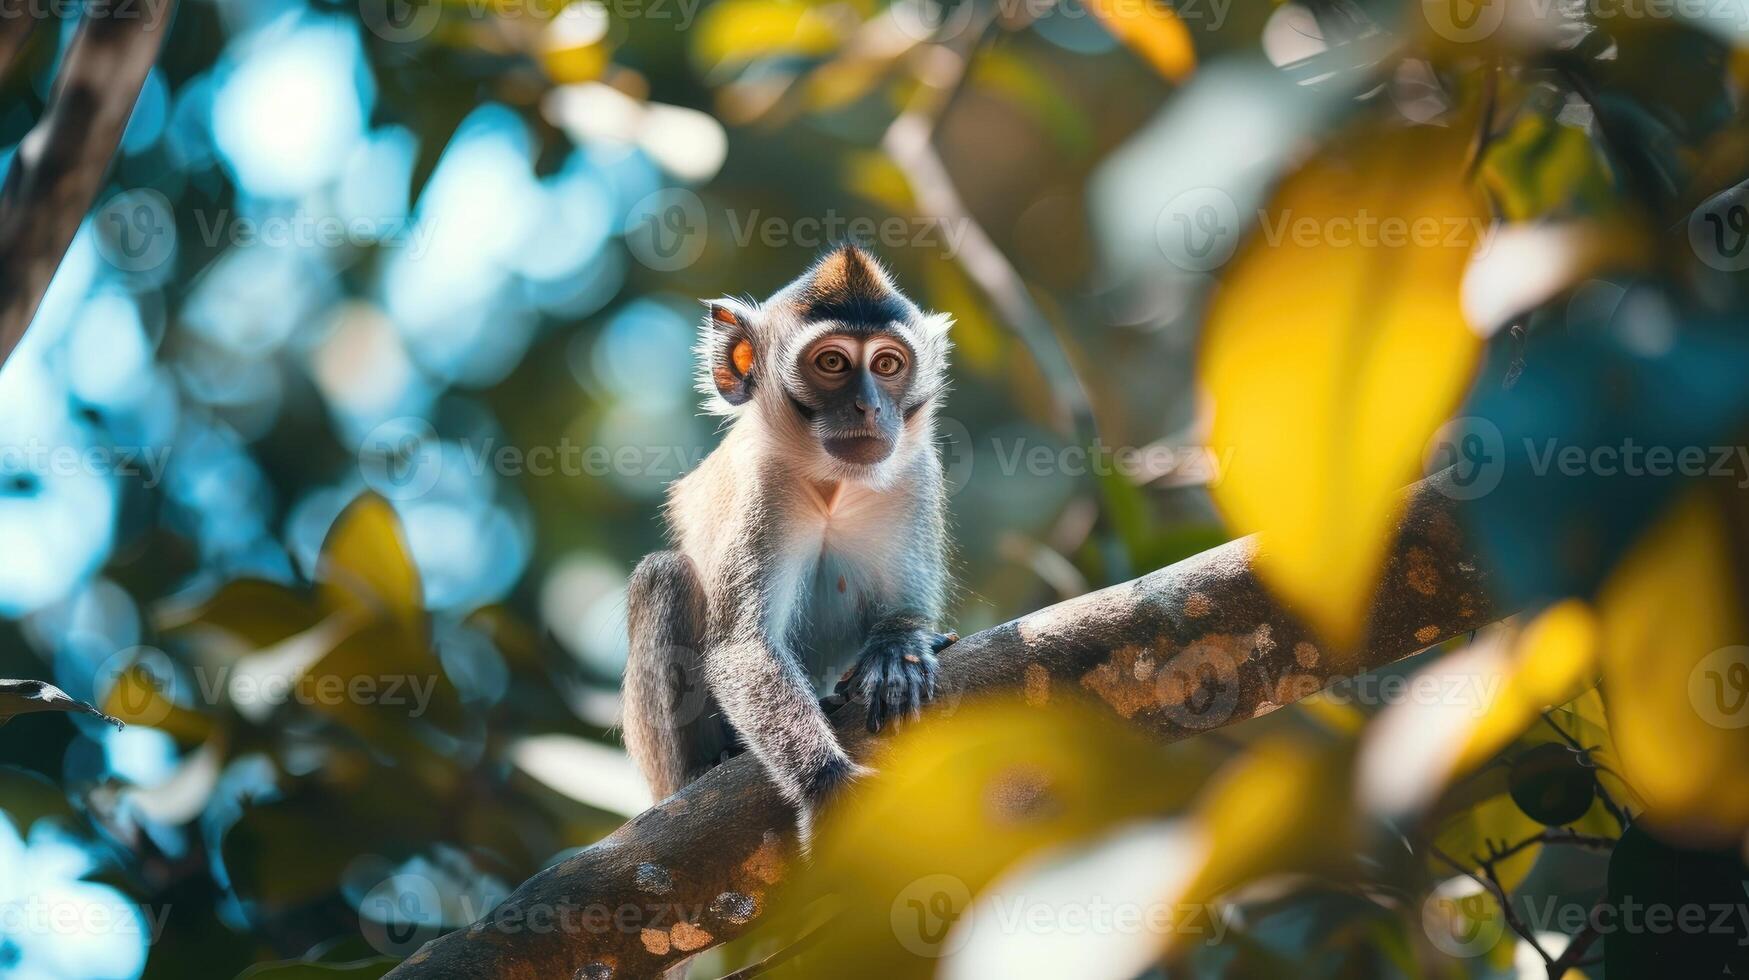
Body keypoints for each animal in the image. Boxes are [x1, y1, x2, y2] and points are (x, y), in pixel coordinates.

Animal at [622, 245, 958, 850]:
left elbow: (906, 611)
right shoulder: (763, 487)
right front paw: (827, 784)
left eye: (887, 365)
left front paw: (897, 651)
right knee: (665, 574)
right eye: (833, 363)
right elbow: (740, 648)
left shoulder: (915, 475)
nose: (870, 408)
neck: (833, 485)